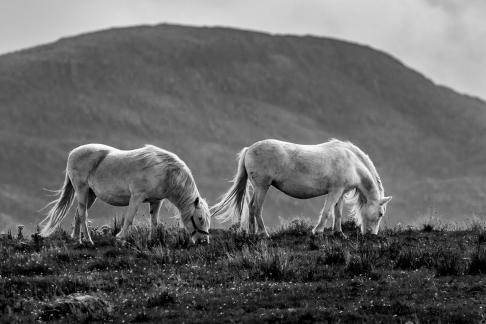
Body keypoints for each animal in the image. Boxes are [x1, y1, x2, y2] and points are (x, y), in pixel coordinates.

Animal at [39, 143, 210, 244]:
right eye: (200, 218)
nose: (204, 242)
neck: (164, 171)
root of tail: (73, 153)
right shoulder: (136, 197)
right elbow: (129, 219)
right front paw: (120, 237)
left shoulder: (156, 201)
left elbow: (154, 221)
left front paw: (151, 240)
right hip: (81, 190)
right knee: (83, 214)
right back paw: (88, 240)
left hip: (91, 194)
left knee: (78, 214)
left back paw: (76, 238)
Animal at [212, 139, 392, 235]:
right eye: (381, 214)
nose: (371, 234)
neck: (352, 162)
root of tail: (249, 149)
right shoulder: (334, 191)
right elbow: (327, 212)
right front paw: (317, 231)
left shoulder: (340, 193)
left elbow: (338, 213)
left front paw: (339, 233)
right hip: (262, 186)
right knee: (256, 208)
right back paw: (264, 233)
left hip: (258, 187)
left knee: (250, 207)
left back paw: (252, 233)